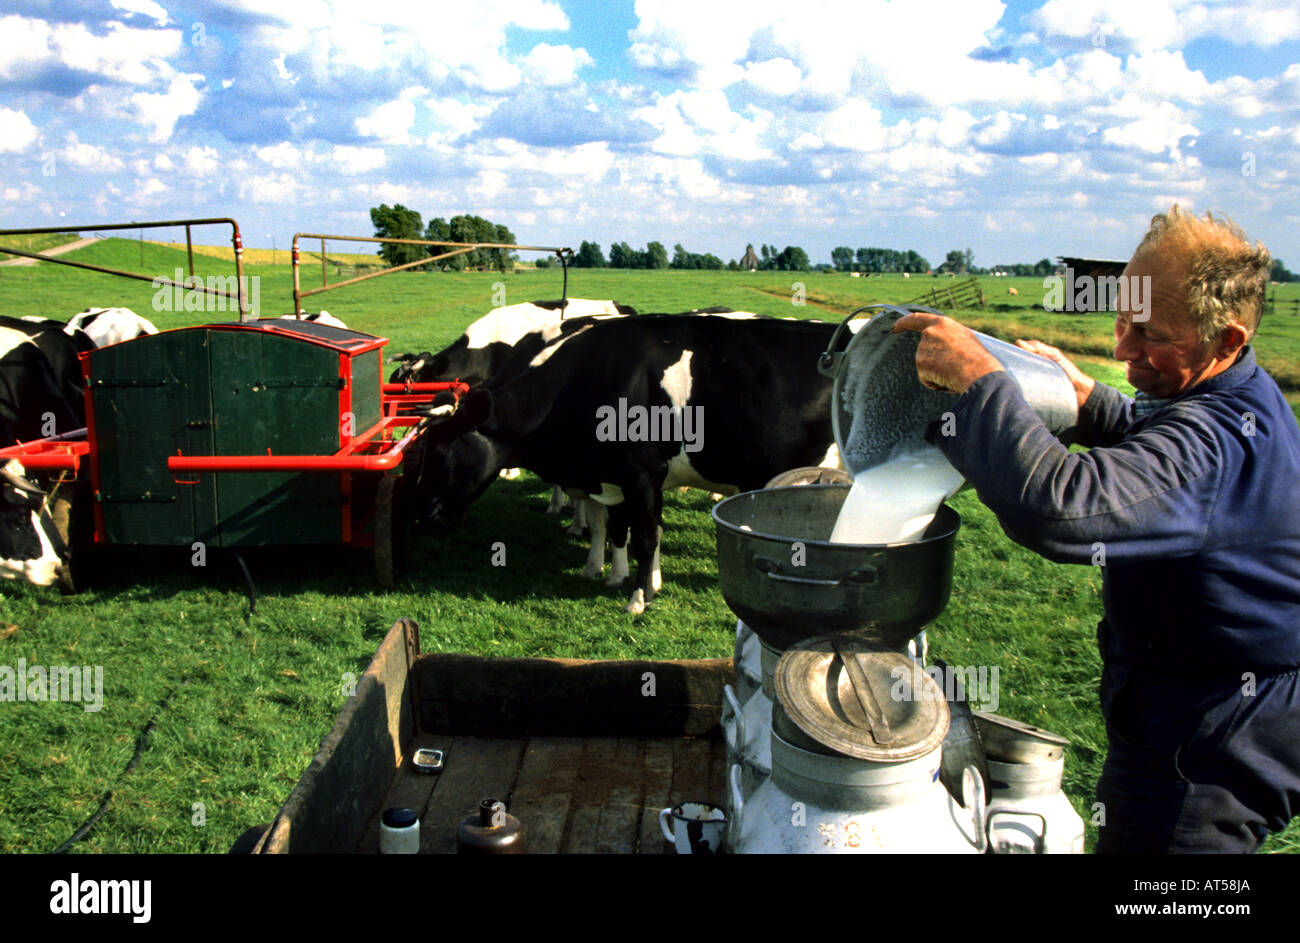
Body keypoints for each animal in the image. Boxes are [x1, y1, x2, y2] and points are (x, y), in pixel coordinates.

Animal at [416, 312, 842, 613]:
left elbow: (646, 535)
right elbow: (619, 528)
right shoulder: (613, 477)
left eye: (440, 448)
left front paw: (639, 598)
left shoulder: (643, 475)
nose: (421, 513)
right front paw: (620, 576)